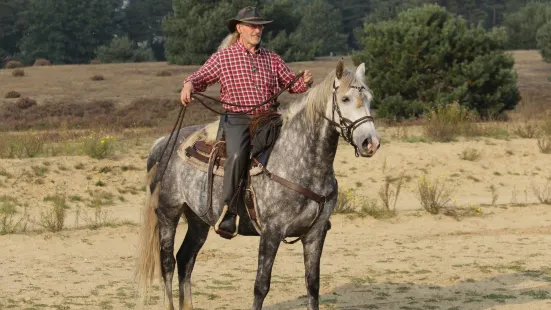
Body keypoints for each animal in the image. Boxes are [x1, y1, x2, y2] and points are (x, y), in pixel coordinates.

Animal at [136, 61, 382, 310]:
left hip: (198, 220)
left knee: (185, 259)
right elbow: (261, 286)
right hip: (168, 214)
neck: (301, 161)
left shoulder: (316, 232)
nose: (370, 143)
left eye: (369, 98)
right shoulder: (271, 231)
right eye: (345, 99)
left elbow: (312, 285)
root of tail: (161, 143)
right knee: (167, 263)